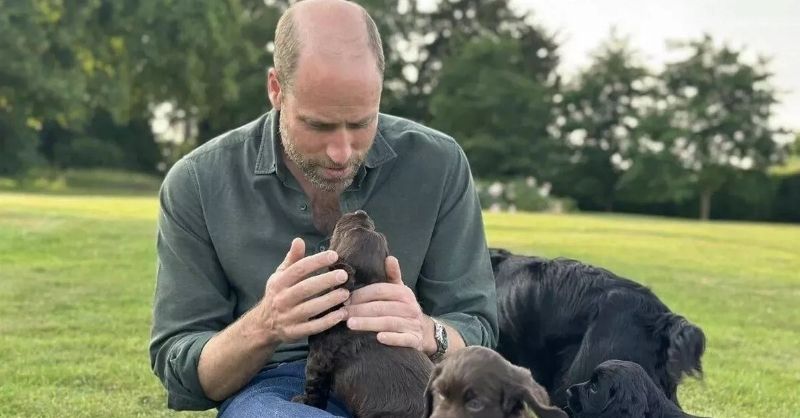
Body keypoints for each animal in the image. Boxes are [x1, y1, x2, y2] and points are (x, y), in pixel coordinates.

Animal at [293, 210, 433, 418]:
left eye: (352, 230)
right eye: (373, 228)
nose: (362, 212)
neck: (360, 286)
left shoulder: (319, 357)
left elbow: (315, 385)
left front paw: (305, 402)